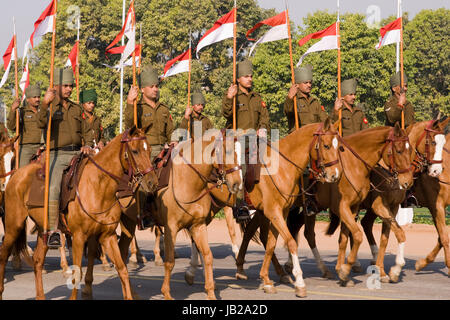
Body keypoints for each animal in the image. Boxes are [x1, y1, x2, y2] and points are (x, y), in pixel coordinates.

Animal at [0, 125, 159, 300]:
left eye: (150, 149)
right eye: (135, 151)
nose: (153, 182)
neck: (98, 185)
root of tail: (16, 174)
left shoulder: (107, 236)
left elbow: (122, 269)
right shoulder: (78, 237)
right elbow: (77, 273)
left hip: (43, 230)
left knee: (37, 260)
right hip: (13, 225)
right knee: (3, 254)